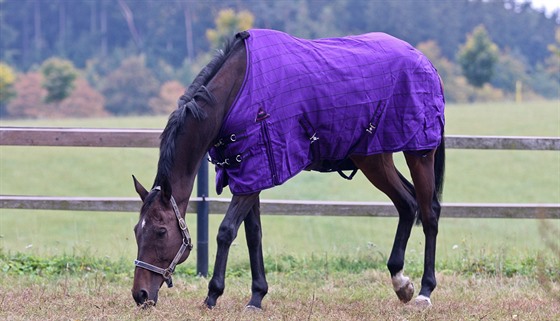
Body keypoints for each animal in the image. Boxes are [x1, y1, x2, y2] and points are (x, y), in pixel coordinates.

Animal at [131, 28, 446, 308]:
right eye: (137, 230)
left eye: (161, 231)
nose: (140, 295)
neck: (236, 93)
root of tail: (424, 60)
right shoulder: (250, 176)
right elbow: (253, 234)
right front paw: (257, 296)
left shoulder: (253, 174)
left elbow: (226, 231)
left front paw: (212, 295)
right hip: (374, 157)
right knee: (407, 204)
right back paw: (400, 282)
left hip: (419, 153)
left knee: (429, 212)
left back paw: (424, 291)